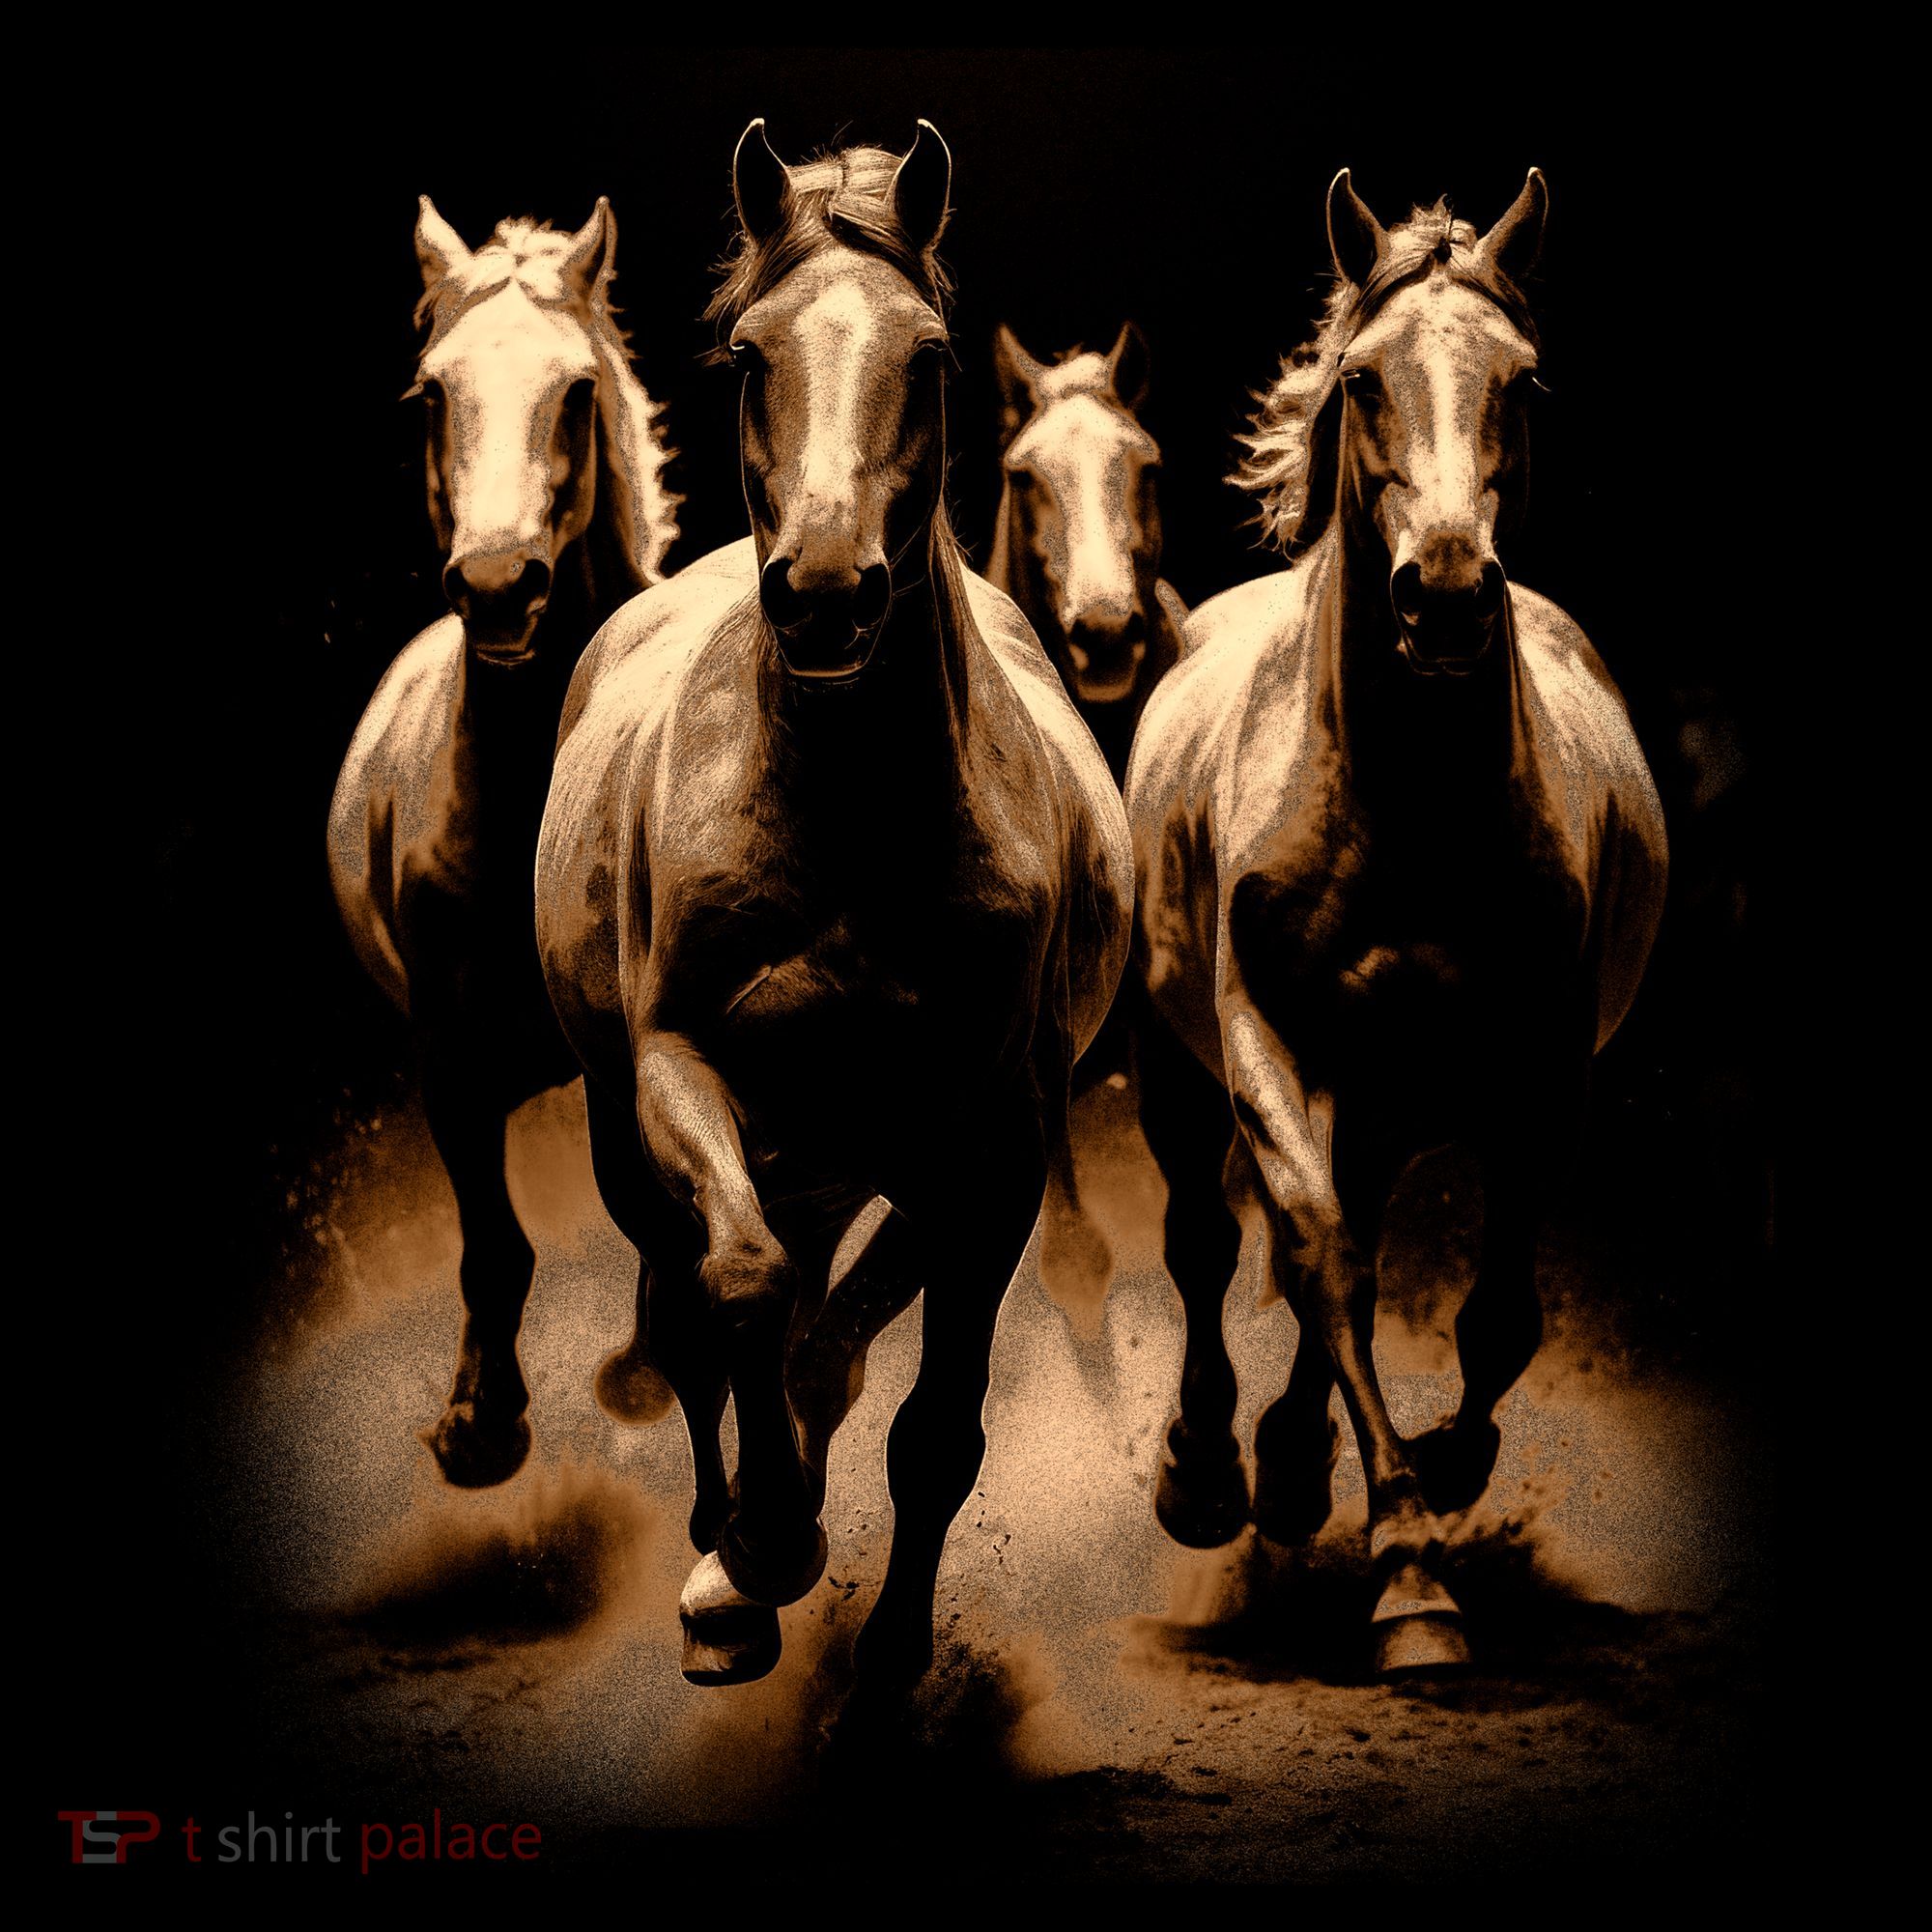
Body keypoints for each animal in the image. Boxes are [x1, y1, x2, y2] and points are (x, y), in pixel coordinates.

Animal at [327, 197, 678, 1489]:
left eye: (575, 388)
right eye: (431, 390)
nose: (496, 586)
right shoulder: (448, 1063)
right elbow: (492, 1241)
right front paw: (480, 1423)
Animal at [534, 121, 1132, 1699]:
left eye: (926, 356)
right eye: (750, 354)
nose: (821, 591)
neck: (849, 825)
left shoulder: (994, 1145)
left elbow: (931, 1428)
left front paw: (879, 1664)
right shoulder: (679, 1072)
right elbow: (736, 1287)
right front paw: (750, 1566)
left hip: (884, 1156)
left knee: (838, 1330)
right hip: (649, 1136)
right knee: (701, 1315)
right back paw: (727, 1540)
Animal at [1125, 169, 1666, 1672]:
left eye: (1522, 378)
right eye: (1362, 377)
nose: (1442, 592)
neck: (1405, 809)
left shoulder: (1541, 1077)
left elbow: (1494, 1319)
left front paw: (1429, 1486)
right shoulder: (1263, 1046)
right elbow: (1310, 1255)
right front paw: (1411, 1571)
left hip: (1389, 1100)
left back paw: (1302, 1463)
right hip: (1187, 1074)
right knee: (1224, 1245)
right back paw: (1215, 1471)